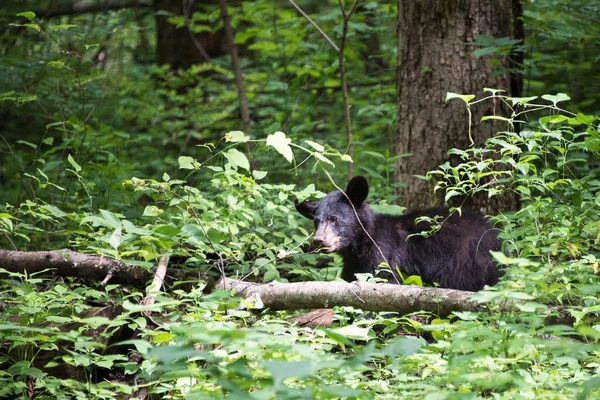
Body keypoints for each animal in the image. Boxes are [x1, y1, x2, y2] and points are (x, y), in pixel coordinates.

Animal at [296, 176, 502, 290]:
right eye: (316, 221)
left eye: (334, 218)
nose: (319, 240)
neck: (361, 243)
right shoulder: (354, 265)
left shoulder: (384, 255)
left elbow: (385, 282)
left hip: (467, 260)